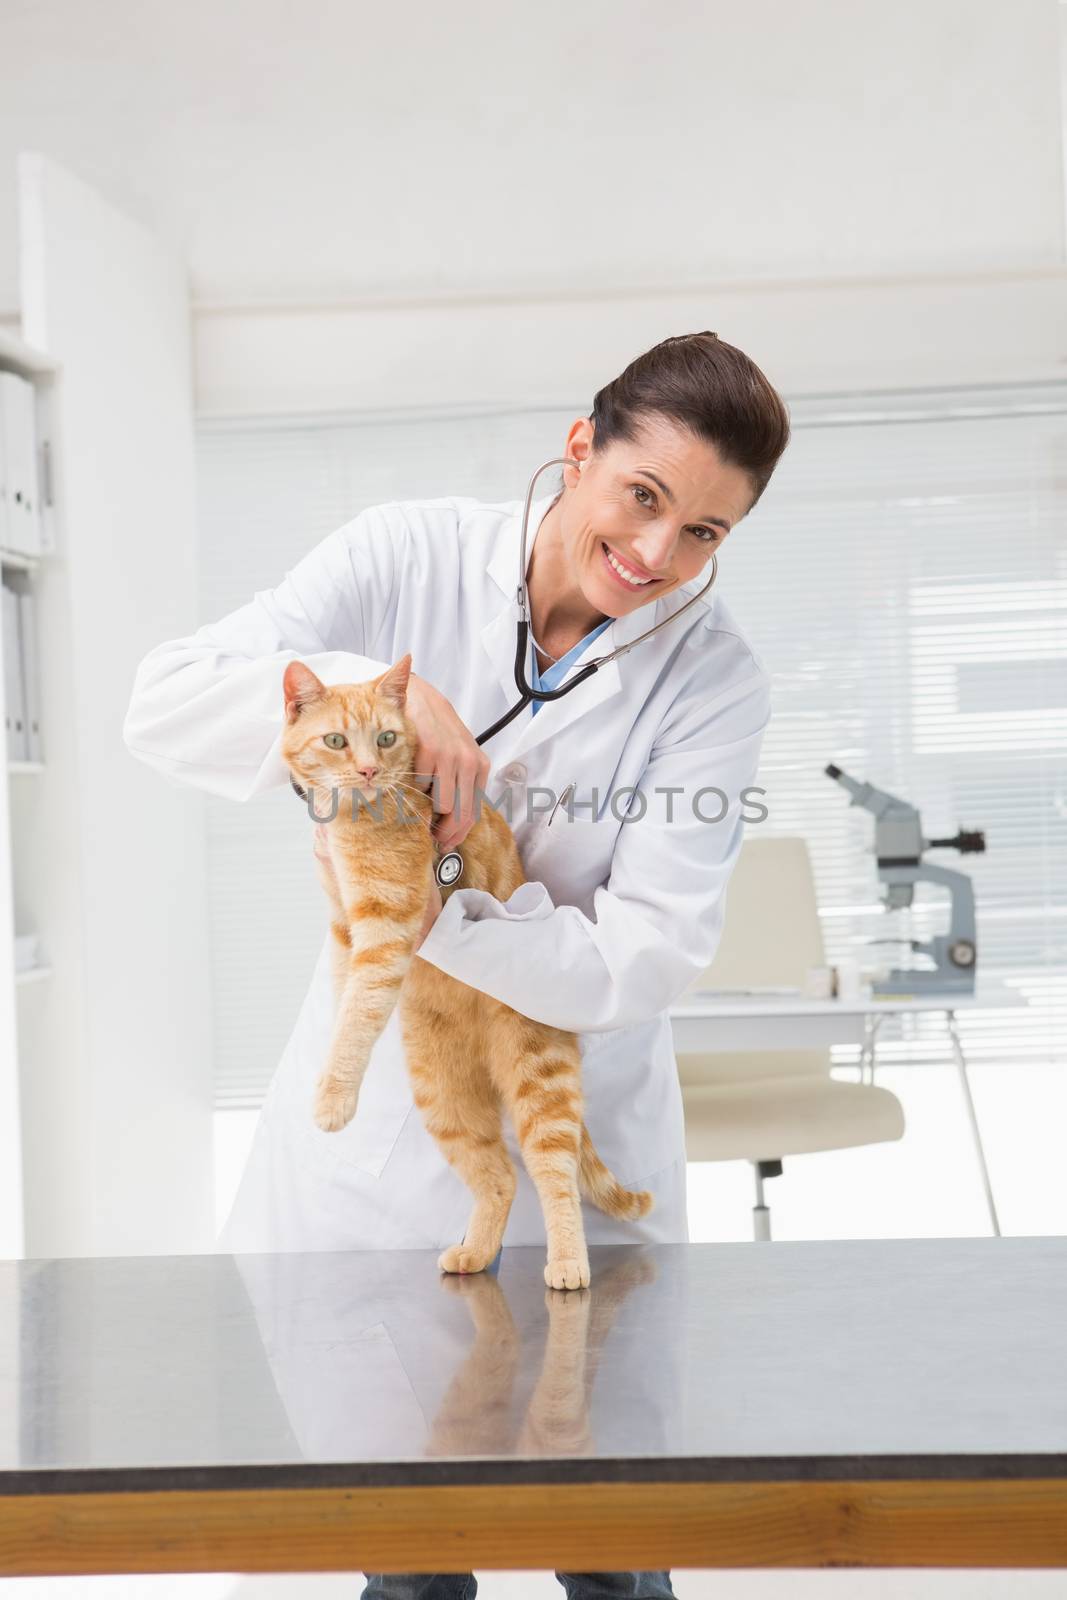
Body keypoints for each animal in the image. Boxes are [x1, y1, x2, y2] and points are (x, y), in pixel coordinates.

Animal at [279, 649, 655, 1286]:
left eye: (386, 738)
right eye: (335, 740)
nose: (368, 771)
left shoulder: (386, 931)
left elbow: (359, 1013)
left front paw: (334, 1097)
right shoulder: (344, 929)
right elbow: (343, 999)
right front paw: (332, 1070)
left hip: (539, 1083)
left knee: (554, 1179)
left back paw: (568, 1262)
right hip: (444, 1098)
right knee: (499, 1178)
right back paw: (475, 1254)